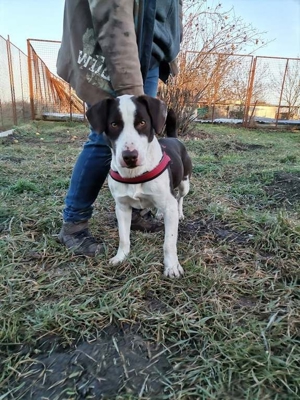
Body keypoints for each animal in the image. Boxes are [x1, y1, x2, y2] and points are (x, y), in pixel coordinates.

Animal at [86, 95, 192, 276]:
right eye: (114, 124)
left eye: (142, 122)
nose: (130, 156)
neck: (134, 174)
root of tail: (173, 138)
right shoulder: (122, 208)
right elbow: (123, 237)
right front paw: (121, 257)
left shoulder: (169, 205)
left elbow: (169, 242)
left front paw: (171, 266)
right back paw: (159, 213)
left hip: (185, 184)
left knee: (179, 197)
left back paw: (180, 213)